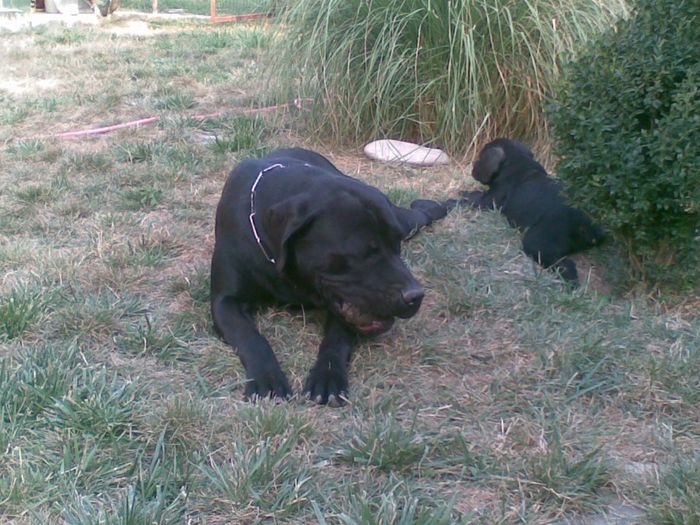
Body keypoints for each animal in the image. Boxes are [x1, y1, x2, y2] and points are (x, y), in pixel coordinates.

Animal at [209, 147, 448, 406]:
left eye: (397, 245)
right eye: (362, 253)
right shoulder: (225, 301)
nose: (416, 295)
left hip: (406, 222)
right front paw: (268, 378)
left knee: (418, 215)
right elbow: (251, 337)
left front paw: (328, 376)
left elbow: (337, 338)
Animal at [462, 138, 604, 282]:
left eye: (480, 157)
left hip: (537, 242)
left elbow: (471, 198)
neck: (518, 161)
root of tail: (587, 225)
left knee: (565, 265)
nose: (473, 165)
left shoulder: (488, 201)